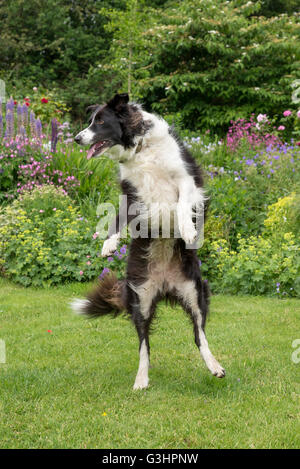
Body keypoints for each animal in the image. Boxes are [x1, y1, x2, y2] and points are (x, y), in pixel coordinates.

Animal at [71, 93, 224, 390]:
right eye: (90, 121)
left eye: (101, 122)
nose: (76, 138)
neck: (140, 149)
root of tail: (165, 285)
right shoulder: (132, 193)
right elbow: (117, 217)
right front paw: (109, 244)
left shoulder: (187, 180)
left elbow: (181, 205)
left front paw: (187, 230)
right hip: (140, 298)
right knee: (144, 345)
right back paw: (141, 379)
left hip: (195, 292)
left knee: (199, 335)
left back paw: (214, 366)